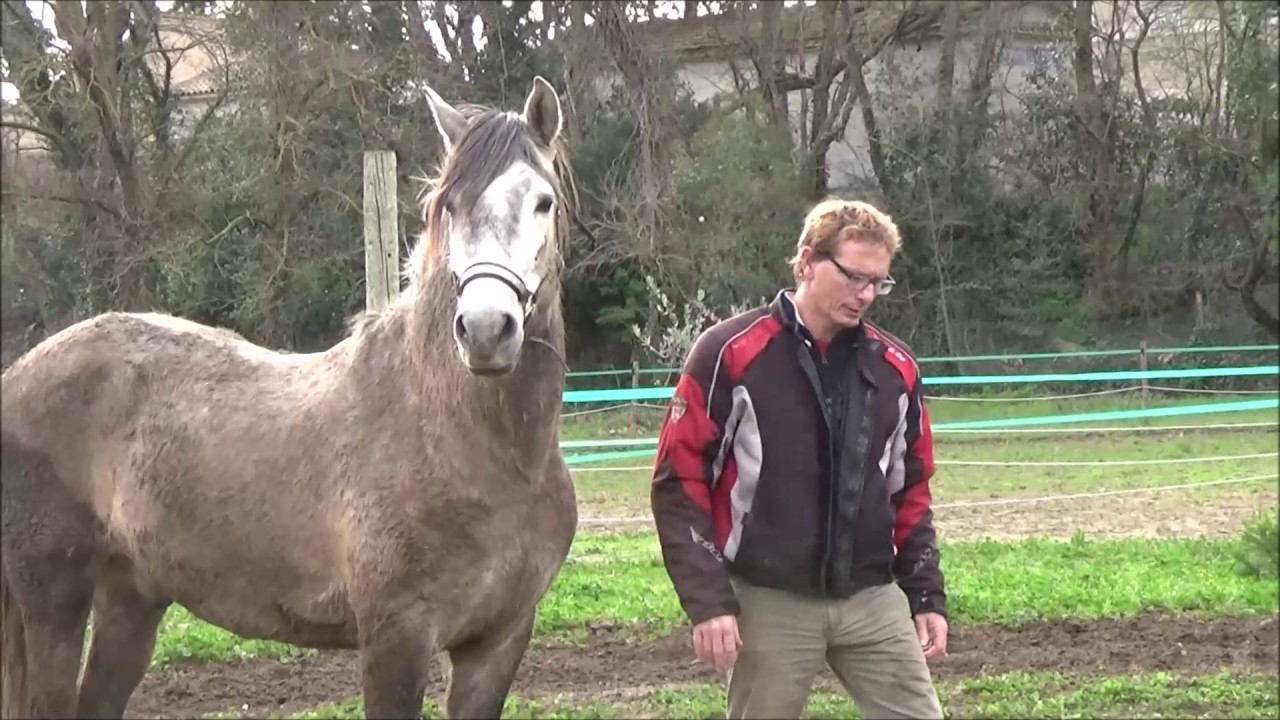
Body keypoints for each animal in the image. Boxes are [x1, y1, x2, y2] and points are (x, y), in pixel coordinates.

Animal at [0, 76, 578, 719]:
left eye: (543, 202)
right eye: (449, 207)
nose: (484, 330)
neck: (473, 446)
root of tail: (17, 375)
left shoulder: (498, 642)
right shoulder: (397, 637)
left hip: (132, 596)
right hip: (53, 599)